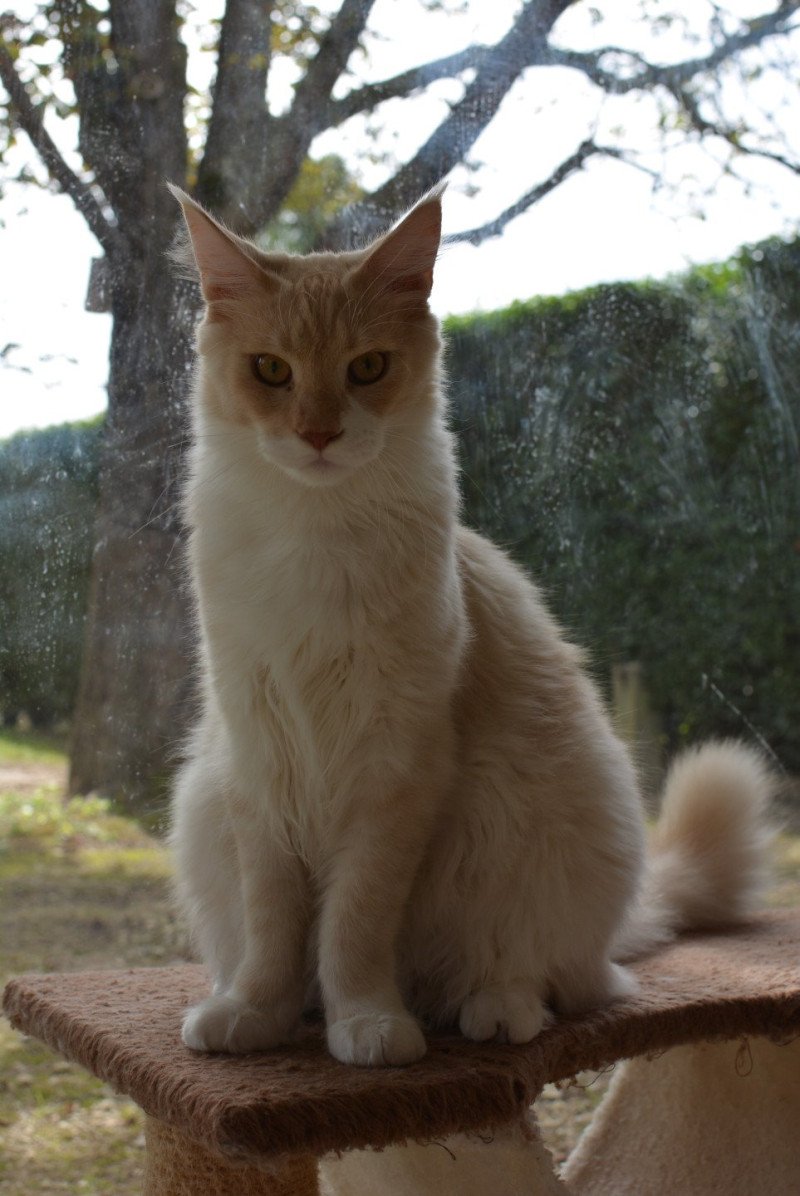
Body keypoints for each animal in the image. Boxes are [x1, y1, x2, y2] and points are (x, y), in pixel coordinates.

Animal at [165, 184, 770, 1066]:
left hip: (551, 831)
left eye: (367, 368)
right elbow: (276, 927)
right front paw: (259, 1013)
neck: (314, 533)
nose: (318, 433)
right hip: (204, 806)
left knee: (553, 979)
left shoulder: (397, 769)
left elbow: (351, 925)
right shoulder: (258, 762)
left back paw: (491, 1009)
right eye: (271, 371)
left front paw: (368, 1024)